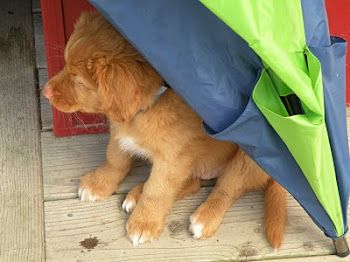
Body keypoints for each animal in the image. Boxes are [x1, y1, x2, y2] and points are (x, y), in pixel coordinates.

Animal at [43, 12, 288, 249]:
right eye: (65, 64)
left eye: (78, 81)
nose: (45, 91)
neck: (148, 108)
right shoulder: (120, 135)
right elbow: (115, 160)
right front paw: (98, 184)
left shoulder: (172, 160)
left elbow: (157, 191)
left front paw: (144, 223)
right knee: (193, 183)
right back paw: (135, 195)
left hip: (249, 159)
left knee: (227, 188)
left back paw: (205, 217)